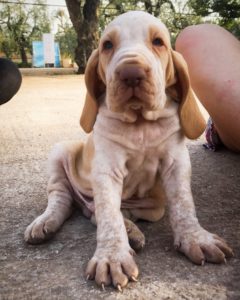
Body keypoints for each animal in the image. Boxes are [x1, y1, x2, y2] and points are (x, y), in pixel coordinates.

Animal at [24, 11, 232, 290]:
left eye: (158, 42)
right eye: (107, 45)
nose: (131, 73)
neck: (140, 123)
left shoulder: (176, 163)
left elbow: (183, 204)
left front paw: (196, 238)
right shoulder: (106, 171)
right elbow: (109, 218)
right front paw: (112, 257)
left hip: (153, 207)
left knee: (100, 214)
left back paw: (132, 231)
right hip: (60, 152)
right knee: (63, 198)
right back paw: (46, 222)